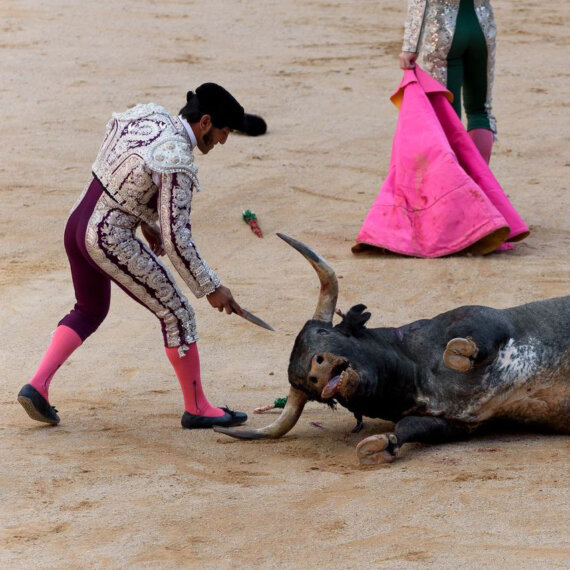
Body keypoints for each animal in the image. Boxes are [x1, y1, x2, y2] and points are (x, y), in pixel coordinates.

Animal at [214, 234, 568, 462]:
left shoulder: (485, 319)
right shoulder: (456, 423)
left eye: (323, 331)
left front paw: (458, 353)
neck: (416, 371)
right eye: (307, 387)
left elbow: (473, 342)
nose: (317, 368)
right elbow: (410, 428)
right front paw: (380, 445)